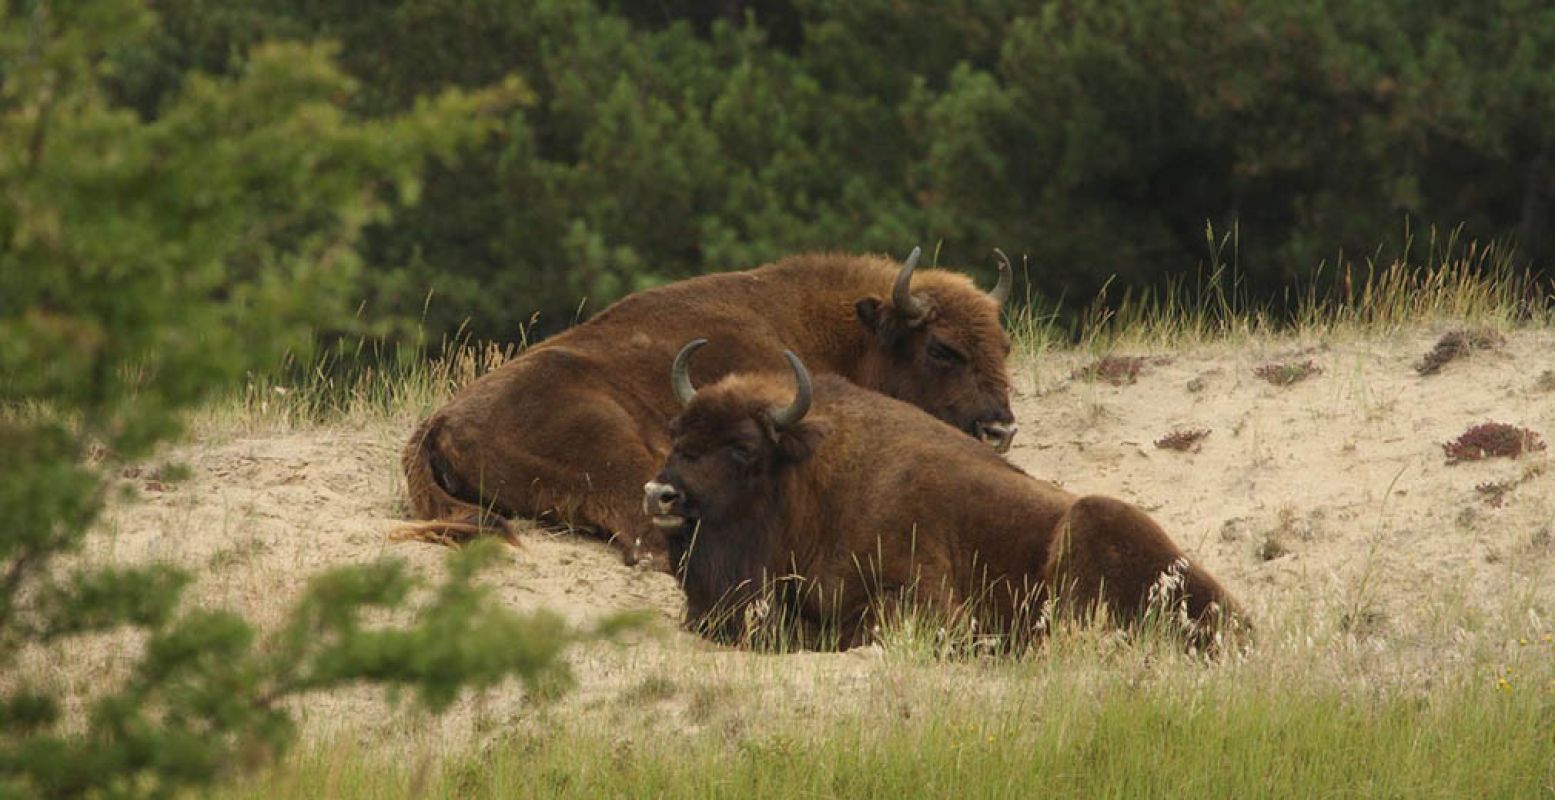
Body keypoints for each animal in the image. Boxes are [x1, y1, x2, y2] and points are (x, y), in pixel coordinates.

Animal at [643, 340, 1250, 647]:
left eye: (743, 447)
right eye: (677, 431)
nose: (660, 494)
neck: (813, 486)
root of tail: (1239, 621)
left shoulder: (924, 599)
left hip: (1090, 522)